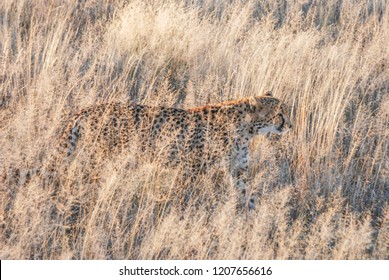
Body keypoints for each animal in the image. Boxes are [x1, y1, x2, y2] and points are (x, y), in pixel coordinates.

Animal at [54, 91, 292, 209]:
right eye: (280, 114)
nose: (290, 125)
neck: (247, 129)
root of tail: (86, 109)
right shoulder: (192, 167)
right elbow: (185, 193)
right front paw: (181, 211)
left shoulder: (238, 169)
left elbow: (245, 192)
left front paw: (253, 213)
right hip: (106, 158)